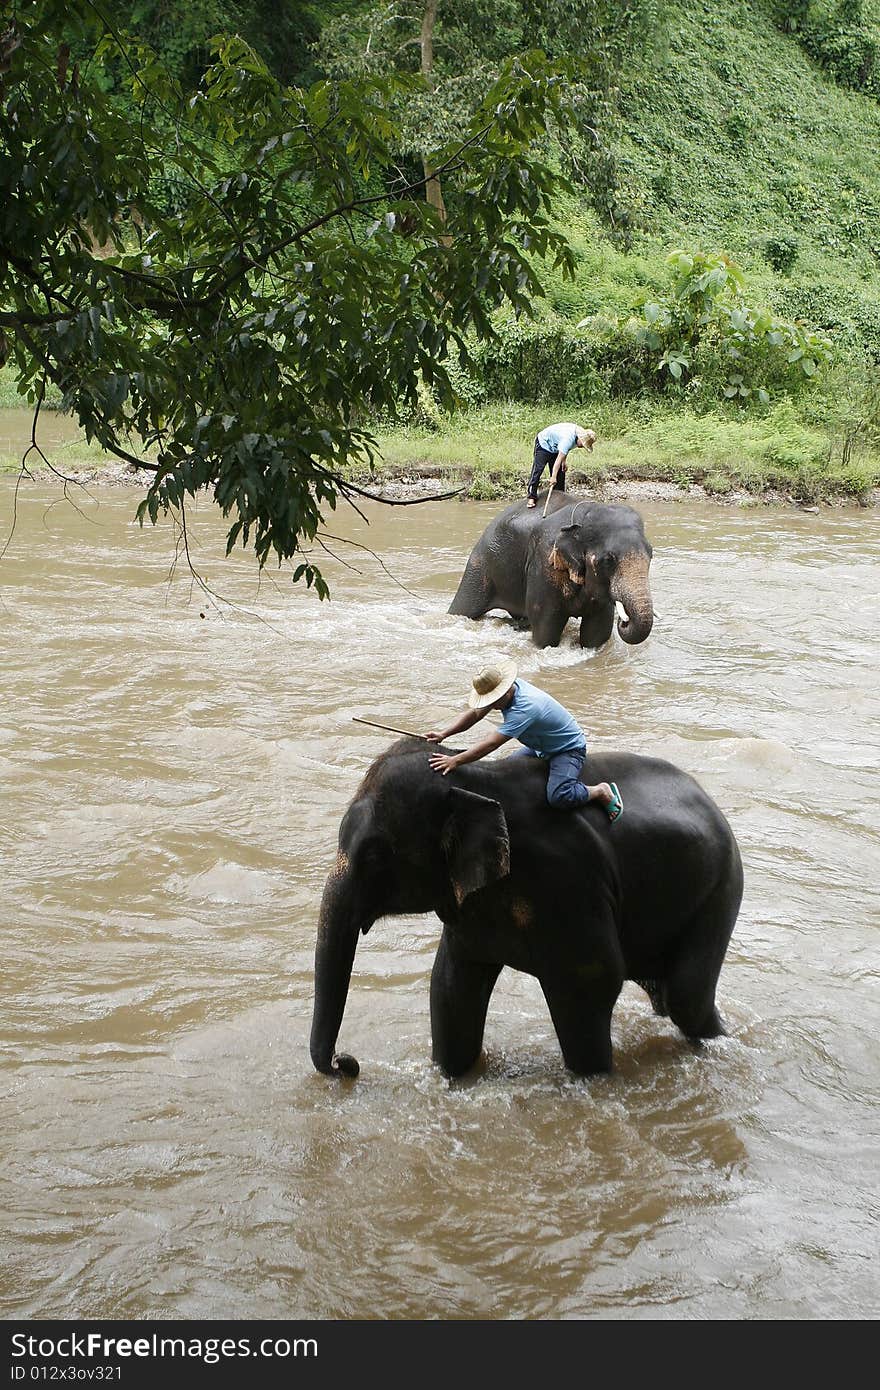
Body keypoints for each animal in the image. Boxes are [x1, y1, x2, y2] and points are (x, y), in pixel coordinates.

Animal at [308, 745, 739, 1078]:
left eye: (375, 856)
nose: (347, 1063)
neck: (477, 780)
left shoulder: (569, 881)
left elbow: (592, 980)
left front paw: (593, 1080)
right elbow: (451, 983)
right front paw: (453, 1074)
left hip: (721, 890)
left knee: (686, 996)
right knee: (664, 993)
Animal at [444, 489, 653, 650]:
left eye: (651, 554)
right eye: (608, 560)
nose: (624, 621)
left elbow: (597, 631)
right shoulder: (544, 561)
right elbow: (546, 627)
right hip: (481, 562)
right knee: (464, 608)